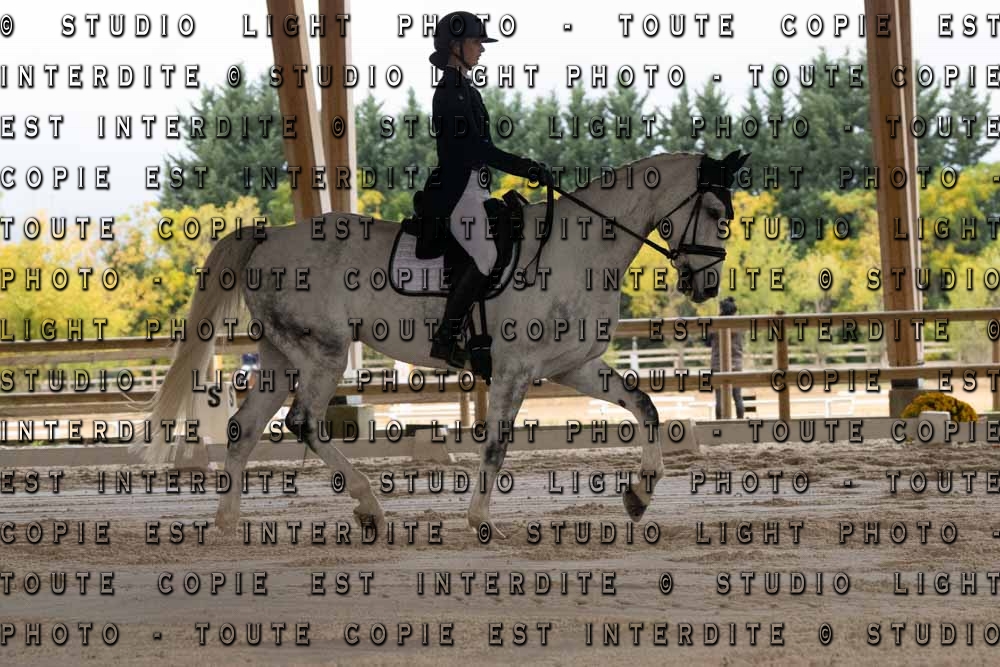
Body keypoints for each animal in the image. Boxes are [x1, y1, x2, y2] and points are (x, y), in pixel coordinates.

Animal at [130, 149, 748, 538]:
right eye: (716, 210)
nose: (706, 285)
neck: (582, 248)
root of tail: (268, 237)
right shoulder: (515, 370)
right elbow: (496, 445)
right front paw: (480, 520)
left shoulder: (572, 366)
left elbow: (644, 405)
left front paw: (640, 494)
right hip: (323, 353)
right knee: (304, 421)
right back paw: (369, 506)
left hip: (284, 356)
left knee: (244, 428)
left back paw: (227, 523)